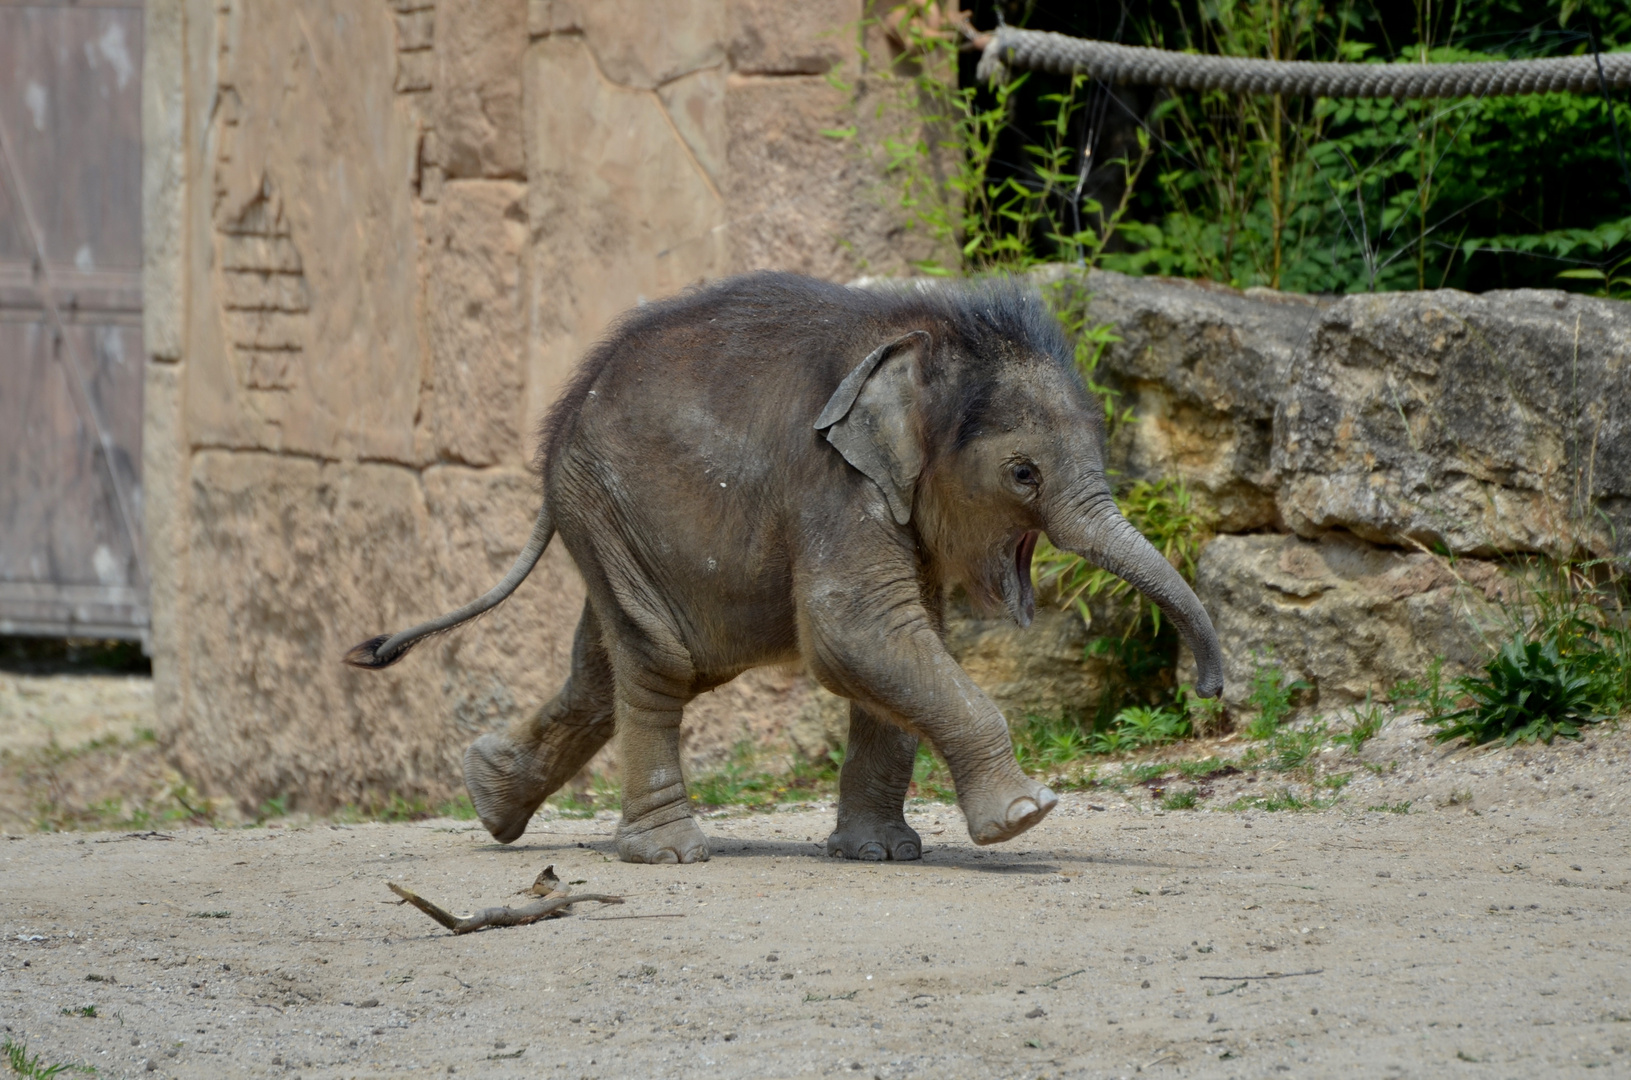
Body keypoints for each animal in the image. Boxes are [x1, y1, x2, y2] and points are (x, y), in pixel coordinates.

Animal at [353, 275, 1226, 867]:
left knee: (604, 665)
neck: (921, 337)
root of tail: (556, 425)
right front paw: (1025, 817)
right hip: (600, 505)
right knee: (659, 661)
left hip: (613, 526)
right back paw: (668, 854)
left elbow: (901, 639)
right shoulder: (833, 485)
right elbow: (855, 632)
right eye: (1022, 474)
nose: (1213, 689)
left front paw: (881, 854)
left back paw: (489, 796)